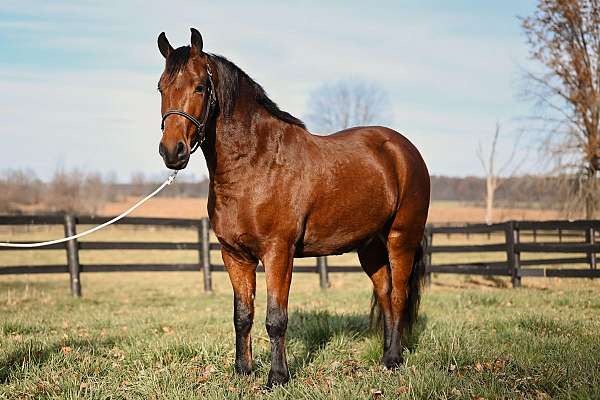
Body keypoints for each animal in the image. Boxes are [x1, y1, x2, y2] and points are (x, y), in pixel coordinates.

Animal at [158, 28, 432, 388]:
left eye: (200, 87)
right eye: (161, 88)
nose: (171, 151)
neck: (256, 164)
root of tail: (404, 150)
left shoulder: (278, 252)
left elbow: (276, 318)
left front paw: (277, 377)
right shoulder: (234, 255)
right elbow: (242, 315)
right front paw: (243, 371)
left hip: (401, 239)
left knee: (399, 296)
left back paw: (393, 359)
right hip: (370, 247)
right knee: (385, 294)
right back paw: (387, 353)